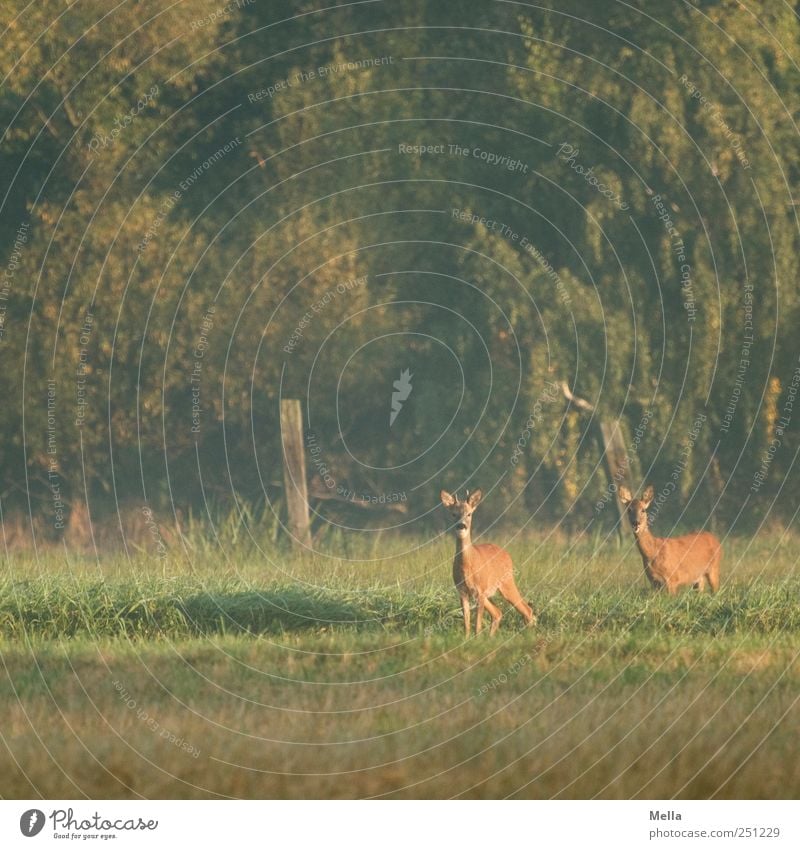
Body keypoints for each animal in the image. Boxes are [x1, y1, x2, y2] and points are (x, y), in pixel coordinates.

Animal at [440, 486, 536, 632]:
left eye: (469, 514)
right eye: (453, 514)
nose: (461, 526)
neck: (467, 565)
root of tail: (506, 553)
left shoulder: (480, 590)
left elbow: (477, 625)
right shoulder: (462, 591)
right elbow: (467, 624)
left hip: (506, 582)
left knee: (527, 609)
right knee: (498, 612)